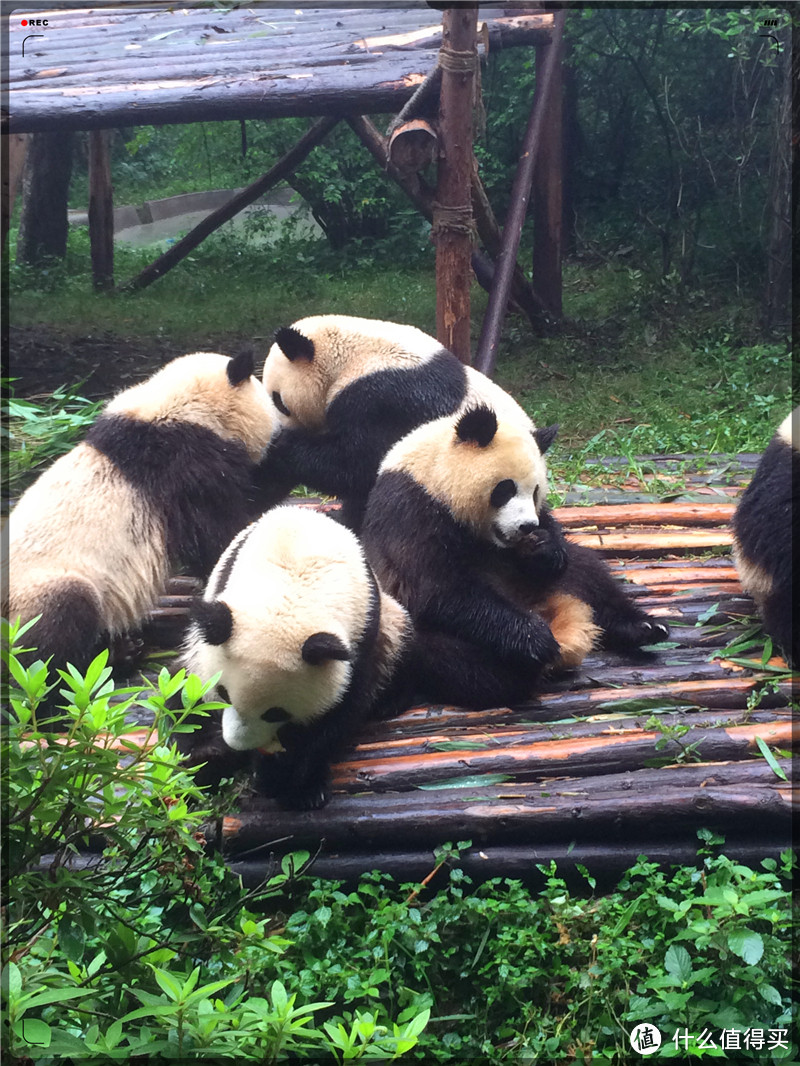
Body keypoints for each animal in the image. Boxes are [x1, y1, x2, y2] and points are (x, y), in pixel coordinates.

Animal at [181, 503, 413, 810]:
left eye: (275, 712)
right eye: (224, 694)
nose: (238, 743)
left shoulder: (362, 631)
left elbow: (338, 711)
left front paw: (289, 779)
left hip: (391, 624)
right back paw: (207, 758)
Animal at [362, 402, 669, 712]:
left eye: (535, 492)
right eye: (505, 489)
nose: (527, 527)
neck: (432, 475)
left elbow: (556, 544)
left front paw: (544, 549)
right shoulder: (411, 510)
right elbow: (440, 587)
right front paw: (535, 640)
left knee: (589, 573)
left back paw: (645, 627)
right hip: (413, 624)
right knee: (458, 660)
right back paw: (525, 668)